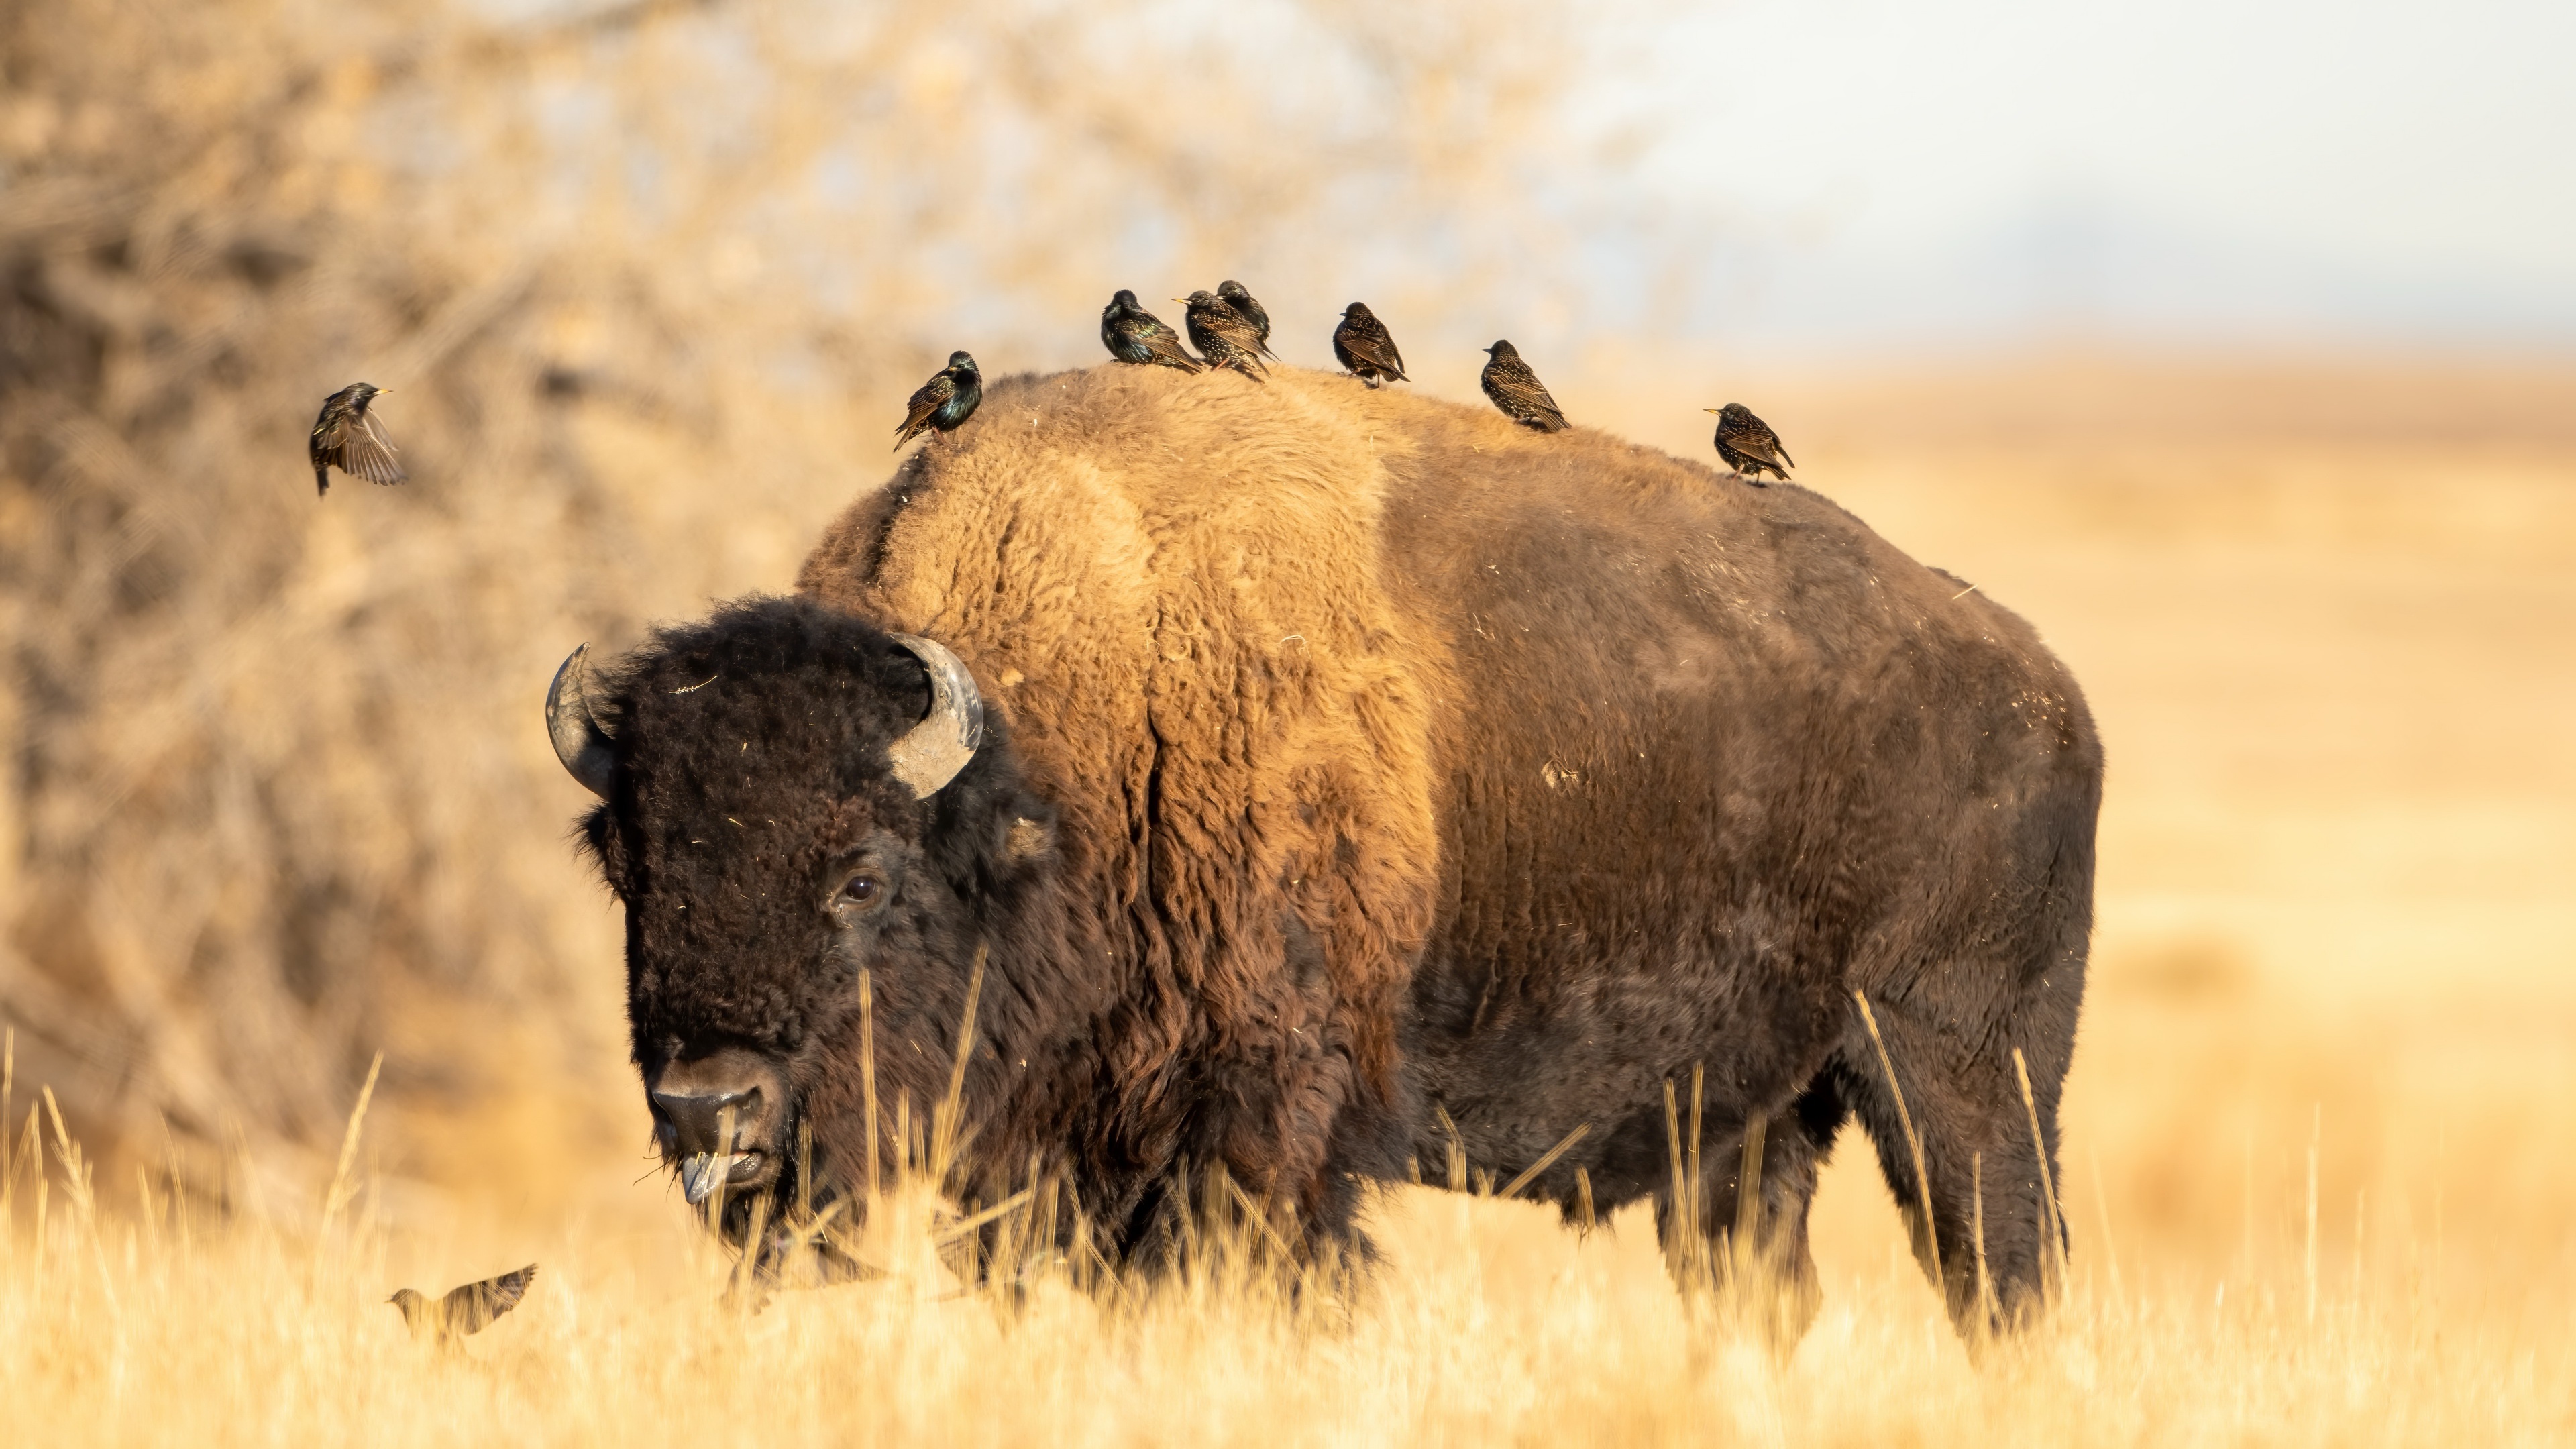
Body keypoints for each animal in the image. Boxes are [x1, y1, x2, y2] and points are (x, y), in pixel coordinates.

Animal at [543, 358, 2092, 1330]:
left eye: (862, 875)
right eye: (633, 872)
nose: (709, 1109)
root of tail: (2038, 681)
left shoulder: (1262, 1124)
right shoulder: (1059, 1153)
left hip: (1958, 1070)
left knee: (1999, 1270)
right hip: (1746, 1125)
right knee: (1761, 1286)